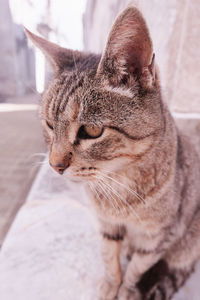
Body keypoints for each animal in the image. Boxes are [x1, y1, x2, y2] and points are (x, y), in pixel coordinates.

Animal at [25, 5, 200, 300]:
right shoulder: (106, 225)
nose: (54, 166)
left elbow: (136, 270)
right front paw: (109, 284)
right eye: (49, 124)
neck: (118, 184)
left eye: (92, 131)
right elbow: (109, 258)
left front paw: (127, 291)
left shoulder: (156, 238)